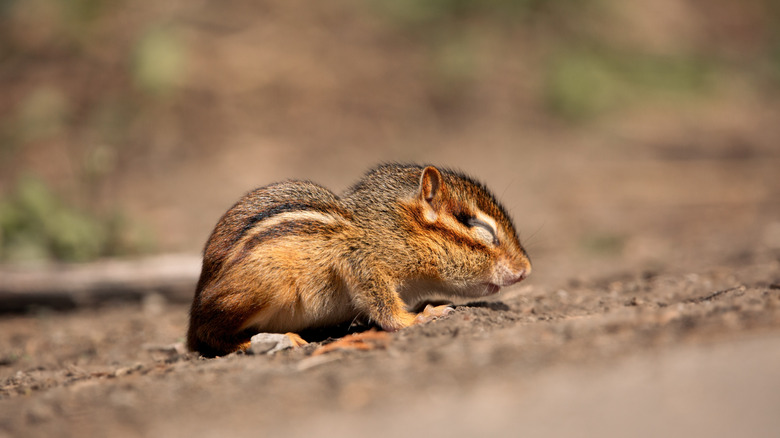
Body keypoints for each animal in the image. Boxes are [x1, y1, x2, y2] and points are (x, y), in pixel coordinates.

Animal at [187, 163, 531, 357]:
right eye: (478, 227)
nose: (526, 270)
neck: (393, 228)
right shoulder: (361, 261)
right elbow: (382, 306)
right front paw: (418, 319)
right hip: (267, 286)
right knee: (210, 335)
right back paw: (274, 341)